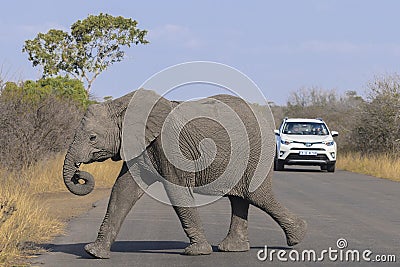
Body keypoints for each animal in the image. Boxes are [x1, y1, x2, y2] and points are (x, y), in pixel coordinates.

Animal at [62, 90, 306, 260]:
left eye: (92, 137)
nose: (79, 174)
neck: (123, 104)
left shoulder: (170, 145)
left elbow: (177, 191)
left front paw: (197, 252)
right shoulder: (140, 146)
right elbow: (123, 191)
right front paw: (94, 253)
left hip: (256, 153)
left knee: (256, 195)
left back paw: (298, 236)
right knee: (240, 198)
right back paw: (233, 248)